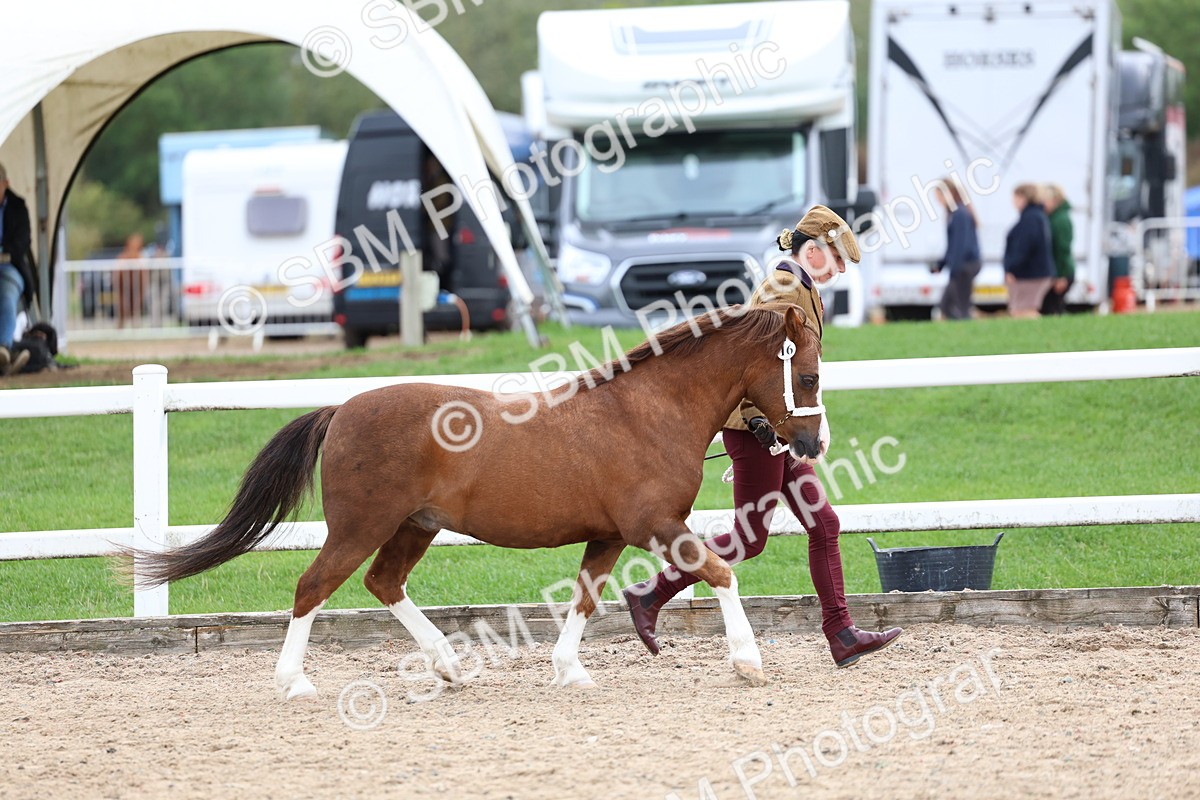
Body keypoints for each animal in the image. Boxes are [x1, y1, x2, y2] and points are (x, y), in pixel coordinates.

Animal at [135, 303, 825, 698]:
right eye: (810, 374)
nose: (813, 443)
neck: (648, 411)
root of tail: (342, 409)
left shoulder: (608, 535)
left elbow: (585, 597)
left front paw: (569, 671)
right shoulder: (653, 524)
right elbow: (721, 571)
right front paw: (748, 663)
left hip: (413, 527)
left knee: (384, 583)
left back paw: (448, 667)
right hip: (360, 527)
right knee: (313, 586)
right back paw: (294, 682)